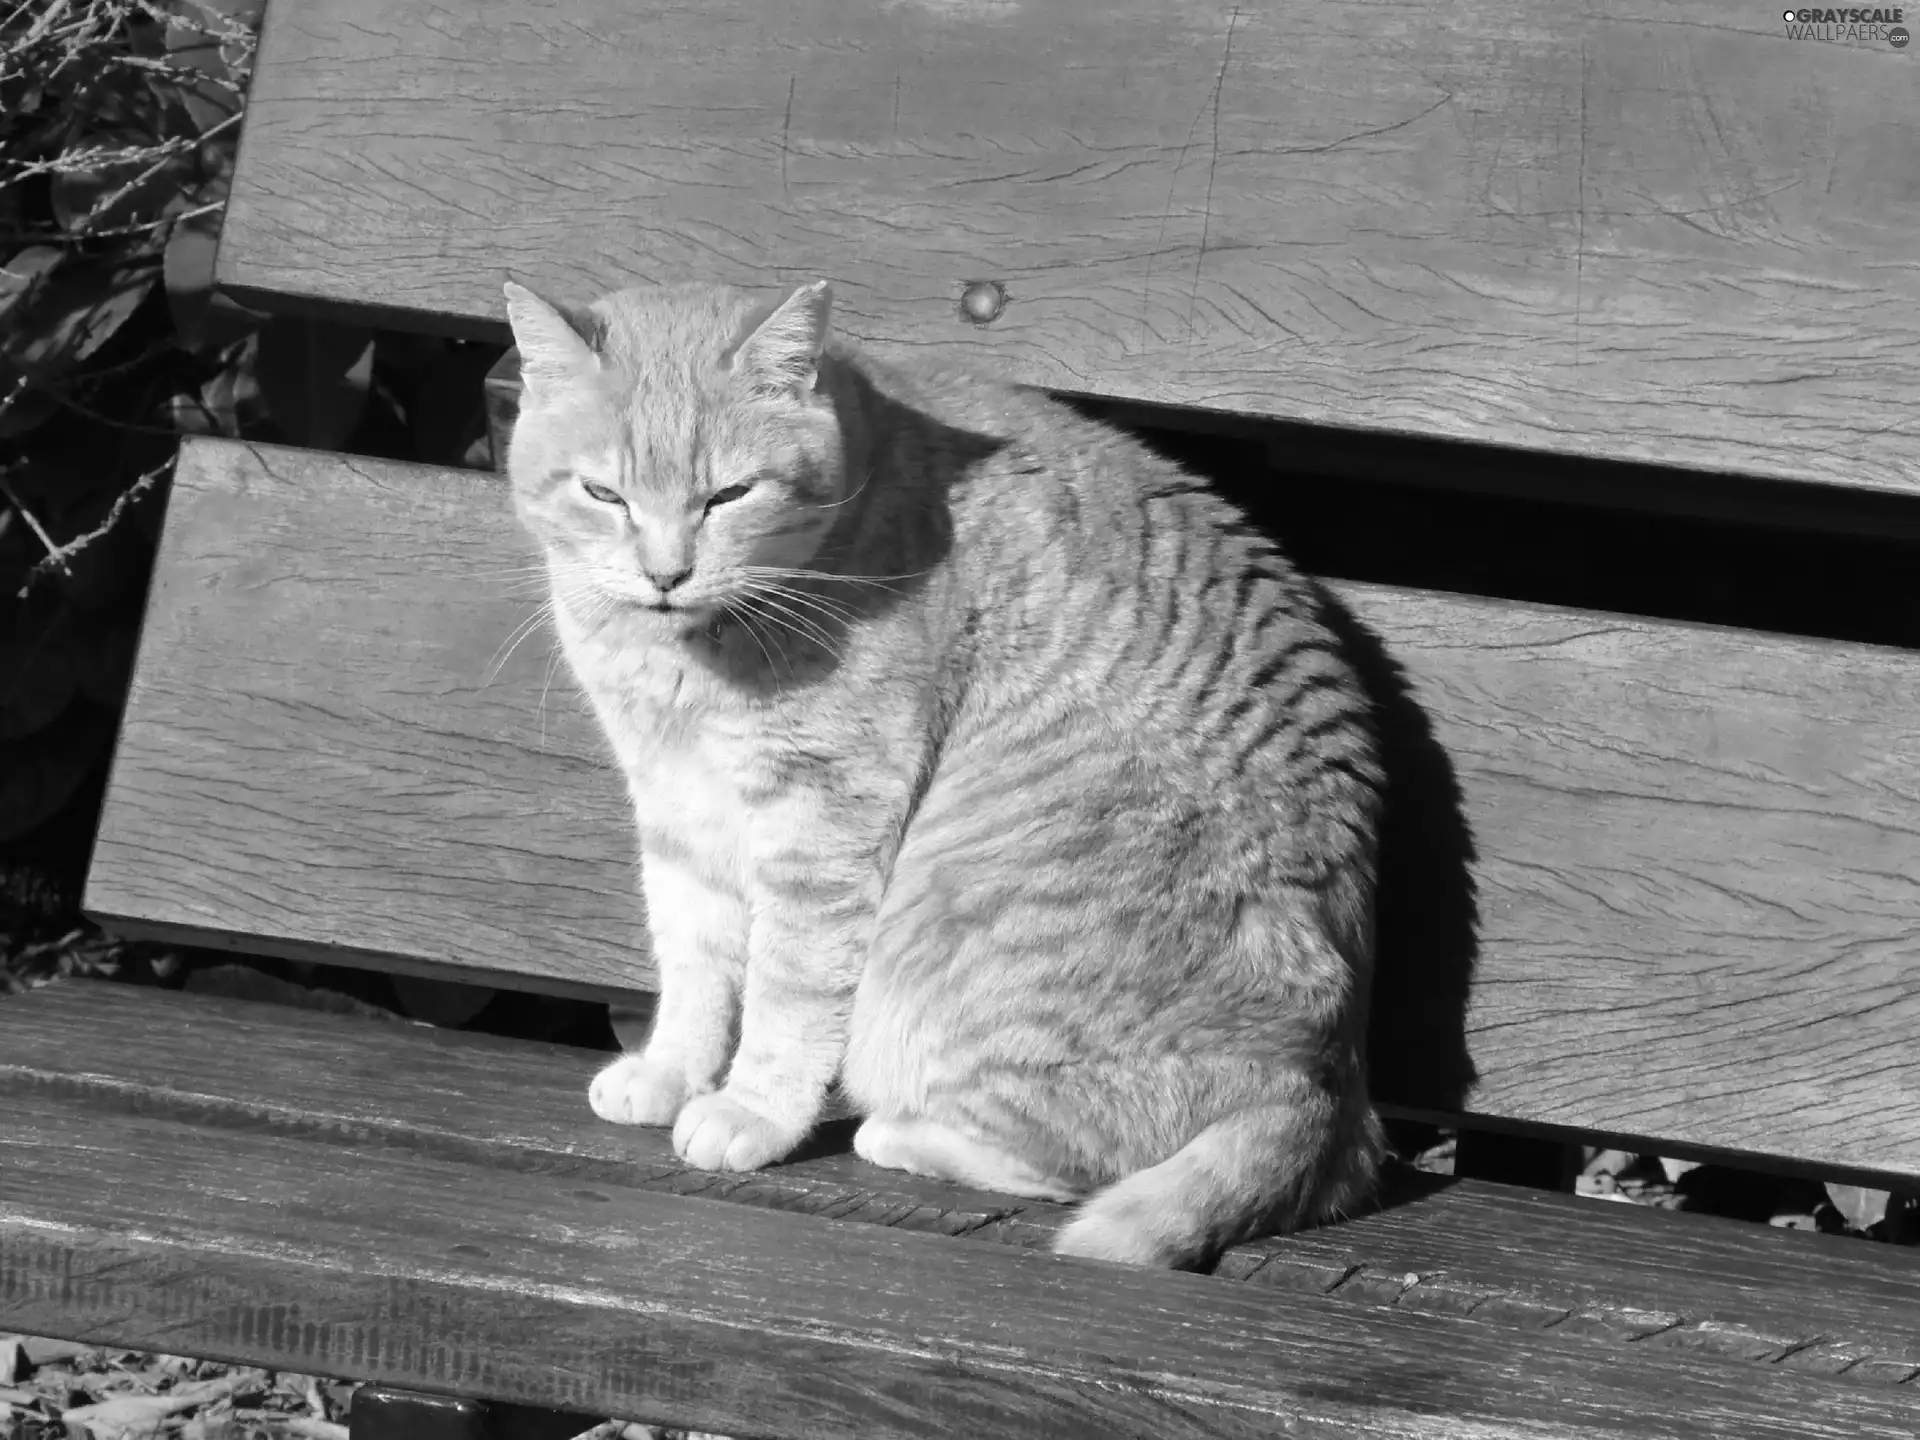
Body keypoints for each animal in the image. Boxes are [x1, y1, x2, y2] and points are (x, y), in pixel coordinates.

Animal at [503, 282, 1390, 1274]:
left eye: (728, 494)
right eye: (603, 493)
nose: (666, 573)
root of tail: (1329, 1089)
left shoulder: (825, 821)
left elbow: (787, 992)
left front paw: (753, 1110)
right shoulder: (677, 810)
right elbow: (695, 965)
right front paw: (671, 1071)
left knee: (1073, 1157)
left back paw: (900, 1131)